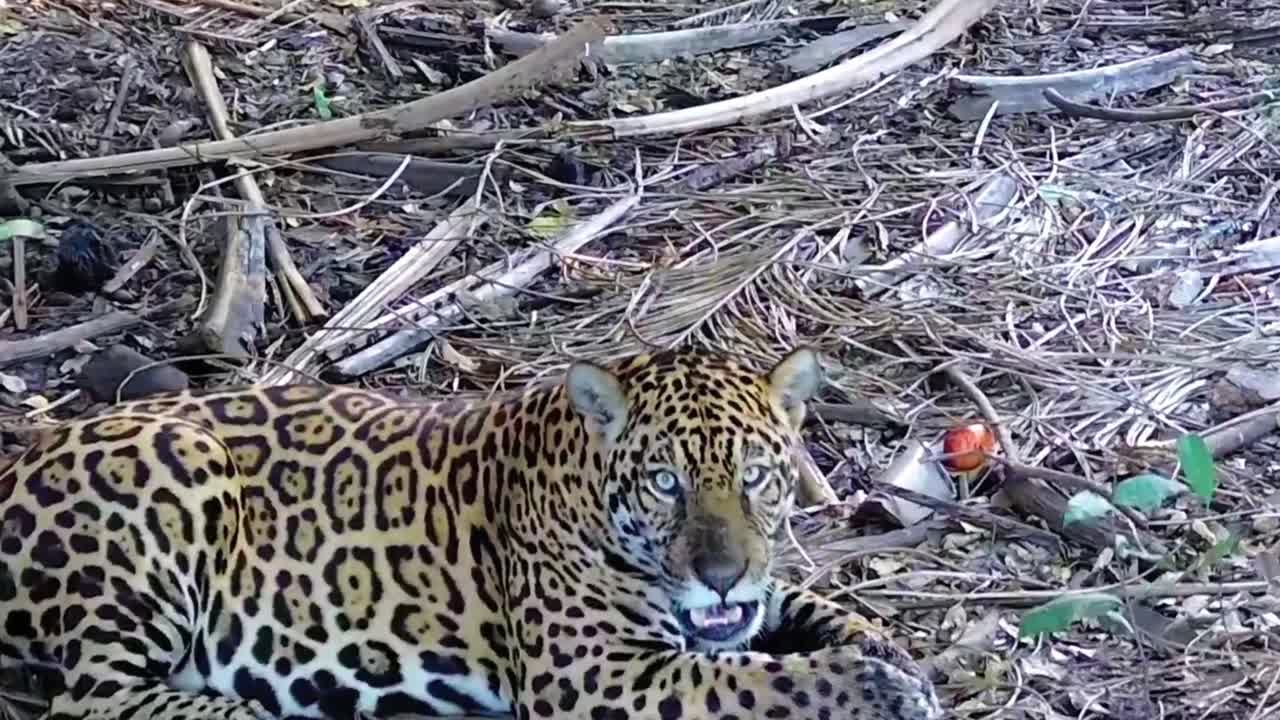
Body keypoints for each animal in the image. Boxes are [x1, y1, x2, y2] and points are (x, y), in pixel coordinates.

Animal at [0, 347, 944, 720]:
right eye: (665, 482)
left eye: (756, 476)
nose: (718, 573)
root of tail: (19, 459)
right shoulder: (597, 676)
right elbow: (752, 683)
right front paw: (876, 689)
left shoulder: (745, 601)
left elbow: (805, 610)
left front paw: (887, 652)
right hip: (175, 470)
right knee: (92, 700)